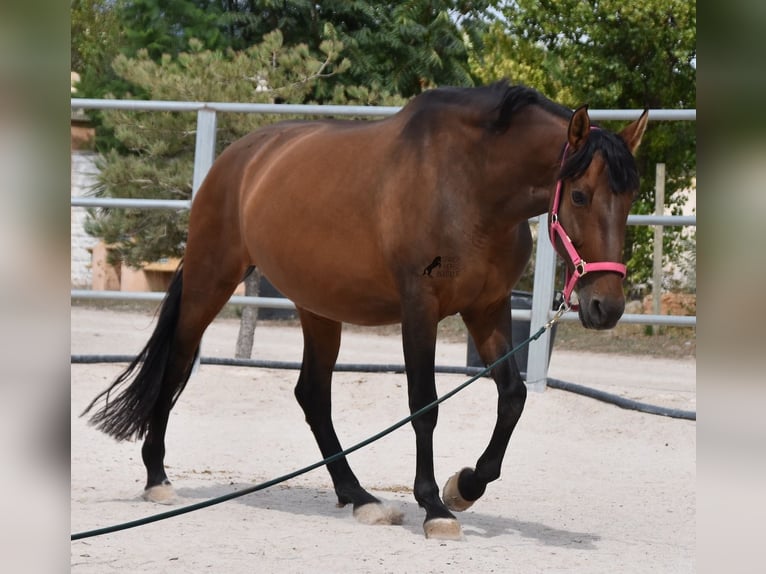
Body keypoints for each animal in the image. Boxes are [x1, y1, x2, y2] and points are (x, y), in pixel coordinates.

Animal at [84, 81, 648, 540]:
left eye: (630, 199)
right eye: (580, 195)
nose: (606, 306)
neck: (467, 185)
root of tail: (240, 158)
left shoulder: (487, 309)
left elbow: (512, 398)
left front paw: (465, 485)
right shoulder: (420, 310)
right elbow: (425, 406)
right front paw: (435, 507)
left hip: (317, 307)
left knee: (312, 395)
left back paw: (359, 497)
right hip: (211, 280)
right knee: (177, 363)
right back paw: (157, 478)